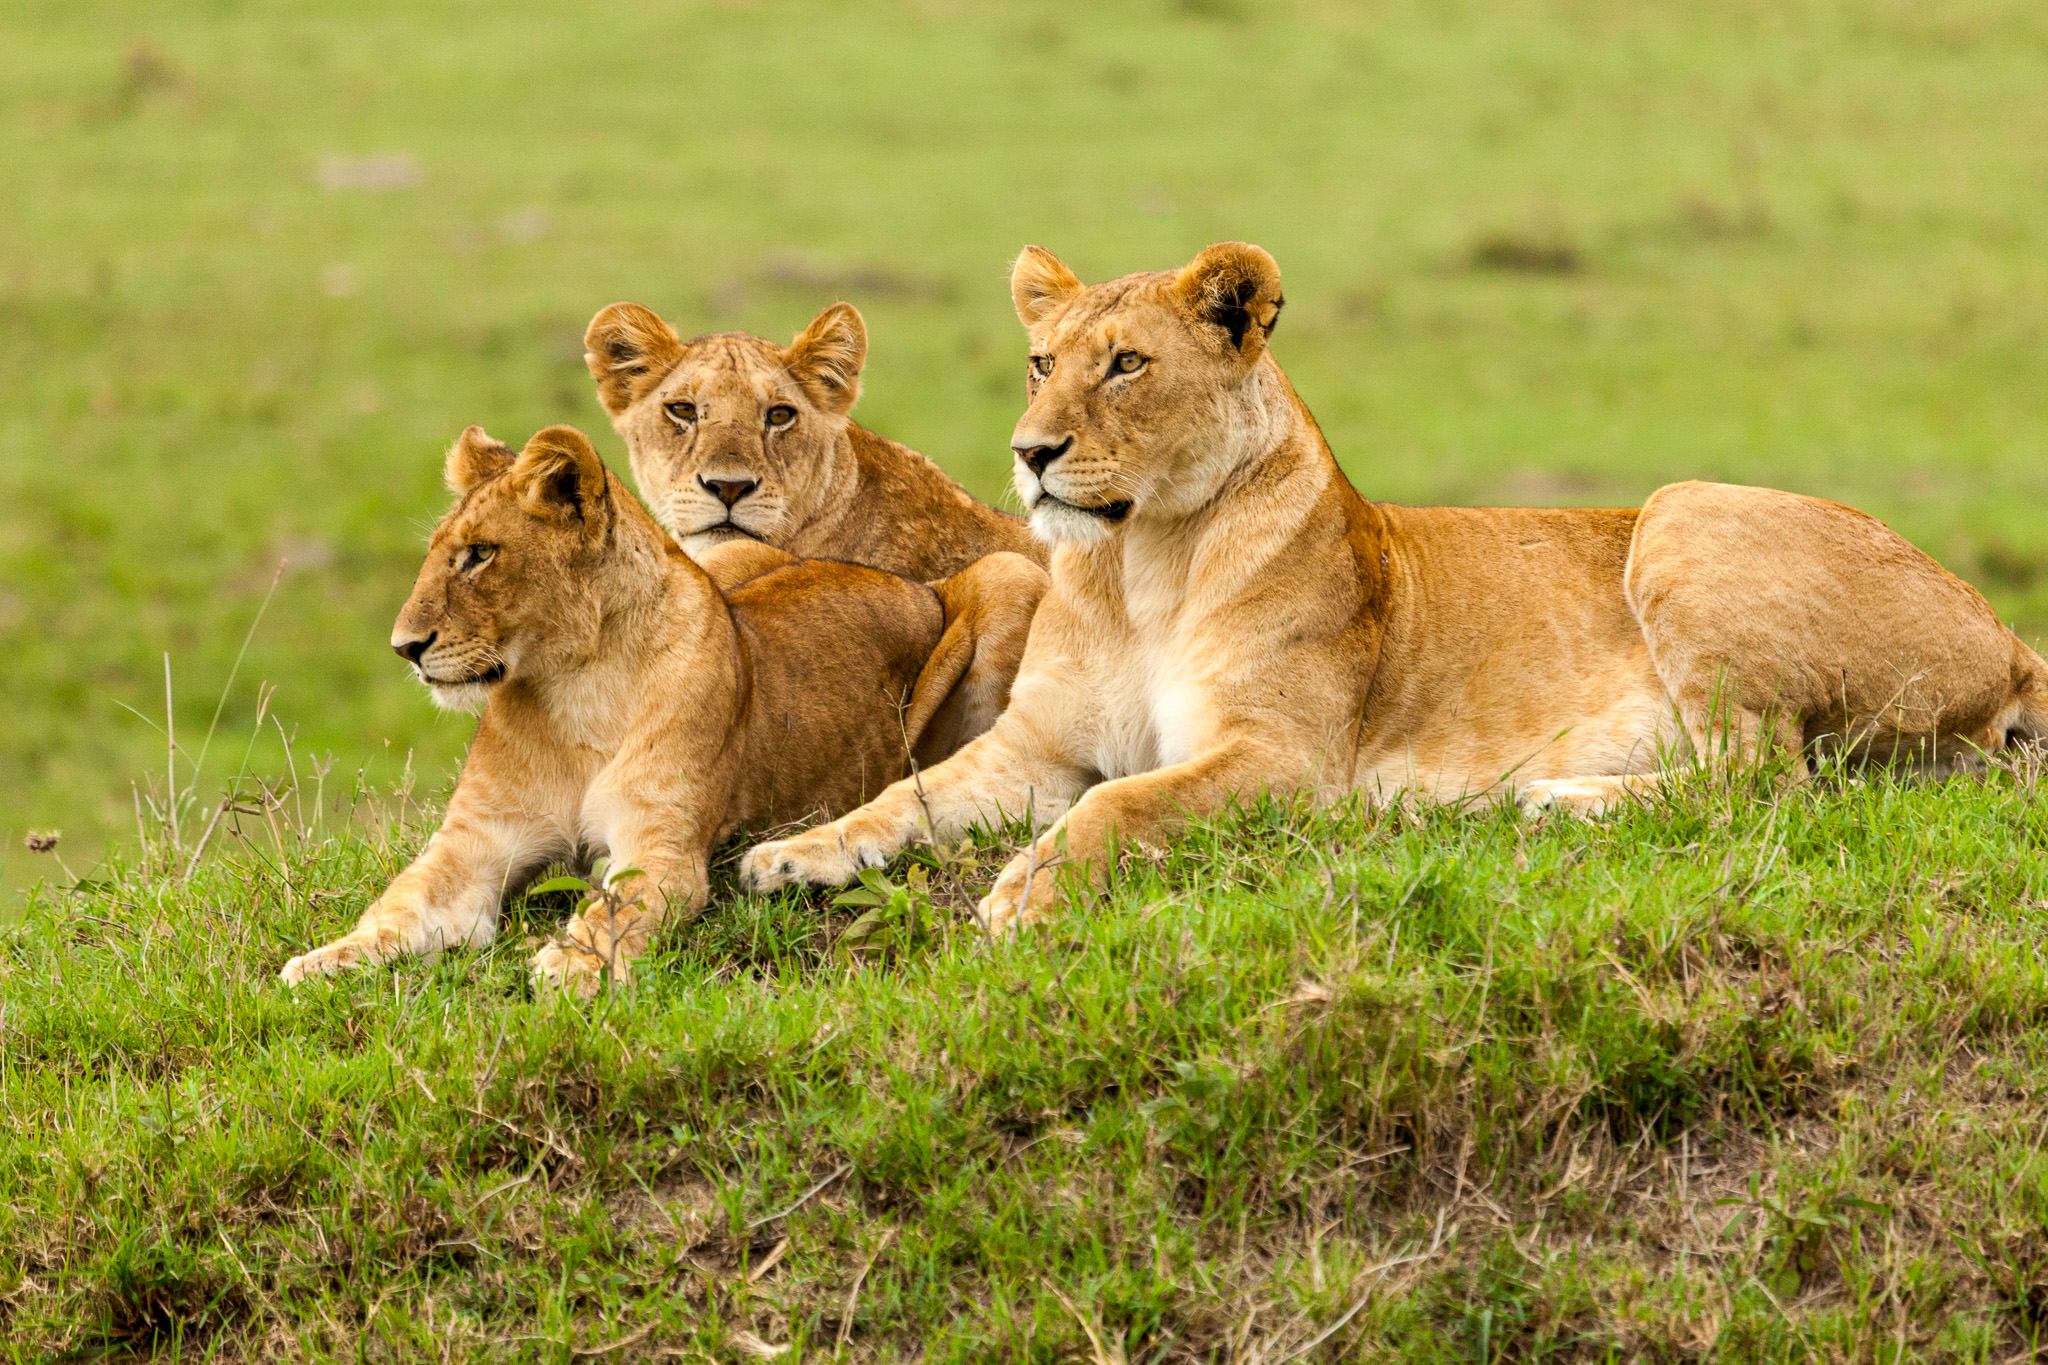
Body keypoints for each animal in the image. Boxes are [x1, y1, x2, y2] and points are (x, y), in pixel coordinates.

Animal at [279, 424, 1045, 995]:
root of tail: (917, 583)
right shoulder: (474, 844)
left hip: (1010, 574)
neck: (574, 692)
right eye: (442, 553)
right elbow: (400, 902)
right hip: (731, 555)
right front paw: (325, 959)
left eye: (479, 555)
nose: (404, 647)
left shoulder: (663, 847)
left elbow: (617, 904)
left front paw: (574, 964)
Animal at [739, 241, 2048, 932]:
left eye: (1125, 365)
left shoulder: (1283, 759)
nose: (1030, 452)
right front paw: (794, 856)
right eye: (1038, 361)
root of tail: (2007, 635)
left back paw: (1548, 799)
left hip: (1683, 511)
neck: (1137, 566)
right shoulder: (1035, 748)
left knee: (1763, 783)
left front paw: (1026, 890)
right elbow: (903, 797)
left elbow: (1116, 805)